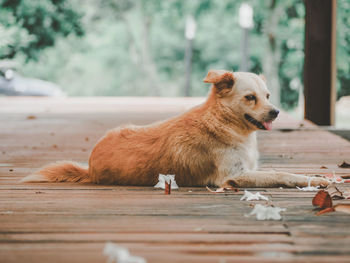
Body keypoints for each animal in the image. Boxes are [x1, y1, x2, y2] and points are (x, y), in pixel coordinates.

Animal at [21, 70, 328, 189]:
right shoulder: (233, 177)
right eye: (250, 97)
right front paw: (315, 179)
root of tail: (90, 167)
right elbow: (282, 173)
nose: (276, 112)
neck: (222, 121)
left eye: (267, 95)